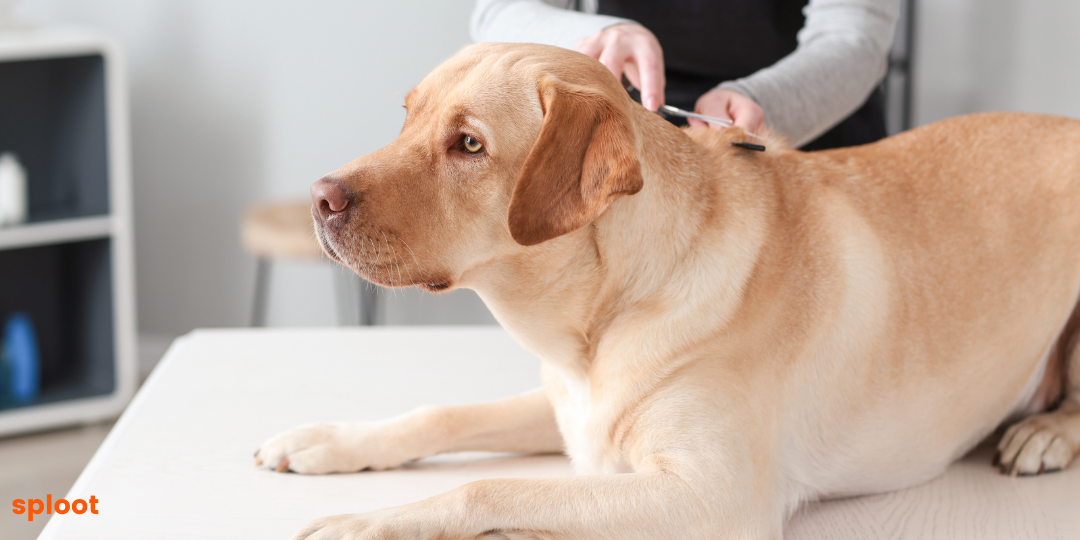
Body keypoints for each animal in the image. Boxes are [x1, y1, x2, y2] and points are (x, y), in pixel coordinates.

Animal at [257, 43, 1080, 540]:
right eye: (408, 115)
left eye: (469, 144)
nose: (319, 199)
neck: (604, 312)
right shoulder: (576, 412)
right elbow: (444, 413)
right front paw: (330, 441)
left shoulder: (713, 497)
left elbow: (489, 491)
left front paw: (367, 523)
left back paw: (1044, 433)